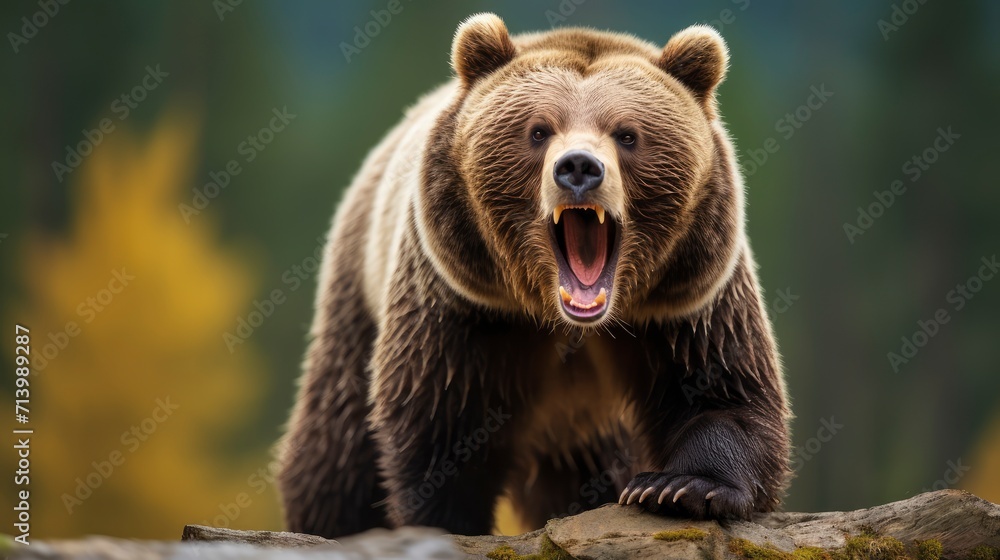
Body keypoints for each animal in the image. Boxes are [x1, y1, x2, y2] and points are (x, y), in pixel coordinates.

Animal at [277, 13, 791, 538]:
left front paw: (680, 486)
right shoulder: (464, 306)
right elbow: (441, 417)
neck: (566, 321)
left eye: (627, 134)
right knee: (336, 443)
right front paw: (447, 520)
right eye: (539, 130)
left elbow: (721, 386)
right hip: (358, 292)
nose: (579, 167)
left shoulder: (687, 298)